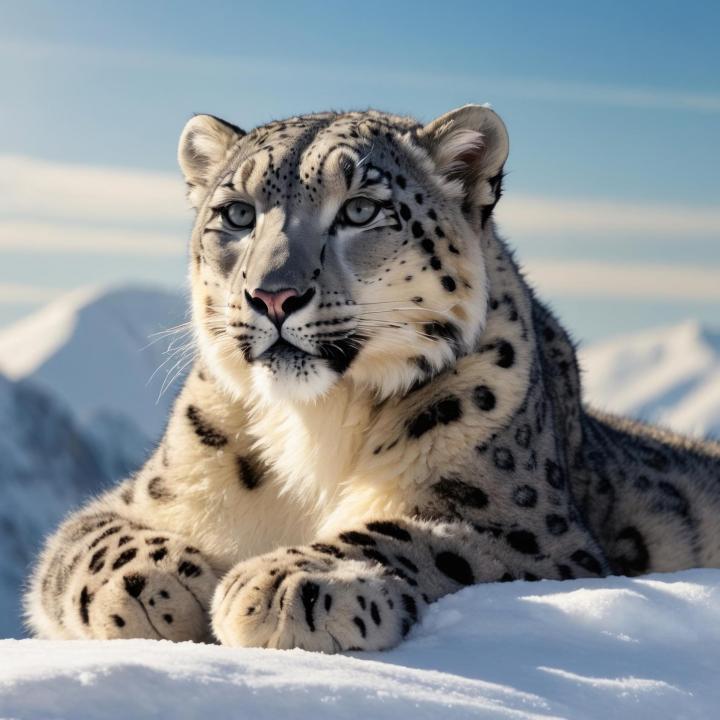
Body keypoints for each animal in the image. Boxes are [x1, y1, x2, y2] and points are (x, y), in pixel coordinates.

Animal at [24, 105, 720, 651]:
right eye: (238, 214)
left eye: (361, 209)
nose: (272, 295)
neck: (315, 423)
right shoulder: (138, 496)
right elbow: (86, 540)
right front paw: (160, 586)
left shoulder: (536, 538)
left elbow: (420, 536)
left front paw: (287, 585)